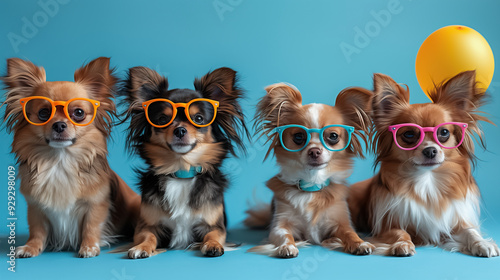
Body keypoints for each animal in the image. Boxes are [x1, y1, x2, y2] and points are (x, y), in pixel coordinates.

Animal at [1, 57, 140, 258]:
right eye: (43, 113)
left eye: (79, 113)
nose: (59, 125)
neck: (60, 159)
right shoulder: (35, 207)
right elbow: (37, 230)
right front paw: (31, 247)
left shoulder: (96, 204)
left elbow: (91, 226)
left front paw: (89, 247)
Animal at [120, 66, 247, 258]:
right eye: (162, 120)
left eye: (199, 119)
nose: (180, 130)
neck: (182, 171)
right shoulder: (147, 225)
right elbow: (147, 236)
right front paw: (141, 247)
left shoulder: (213, 225)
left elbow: (213, 235)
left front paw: (213, 245)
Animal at [246, 82, 376, 258]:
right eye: (298, 136)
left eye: (333, 136)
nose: (314, 151)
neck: (312, 186)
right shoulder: (279, 225)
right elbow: (285, 235)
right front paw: (287, 247)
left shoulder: (340, 222)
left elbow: (350, 233)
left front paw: (360, 243)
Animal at [348, 71, 500, 258]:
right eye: (409, 134)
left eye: (444, 132)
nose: (430, 150)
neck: (427, 181)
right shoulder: (386, 227)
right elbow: (400, 232)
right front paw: (403, 244)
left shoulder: (454, 224)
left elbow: (470, 231)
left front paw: (482, 243)